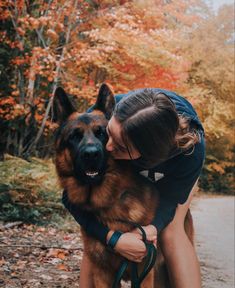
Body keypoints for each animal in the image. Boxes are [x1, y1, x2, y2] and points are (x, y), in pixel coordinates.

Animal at [53, 84, 195, 288]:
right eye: (74, 136)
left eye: (102, 133)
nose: (91, 154)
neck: (109, 204)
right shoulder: (102, 272)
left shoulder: (145, 270)